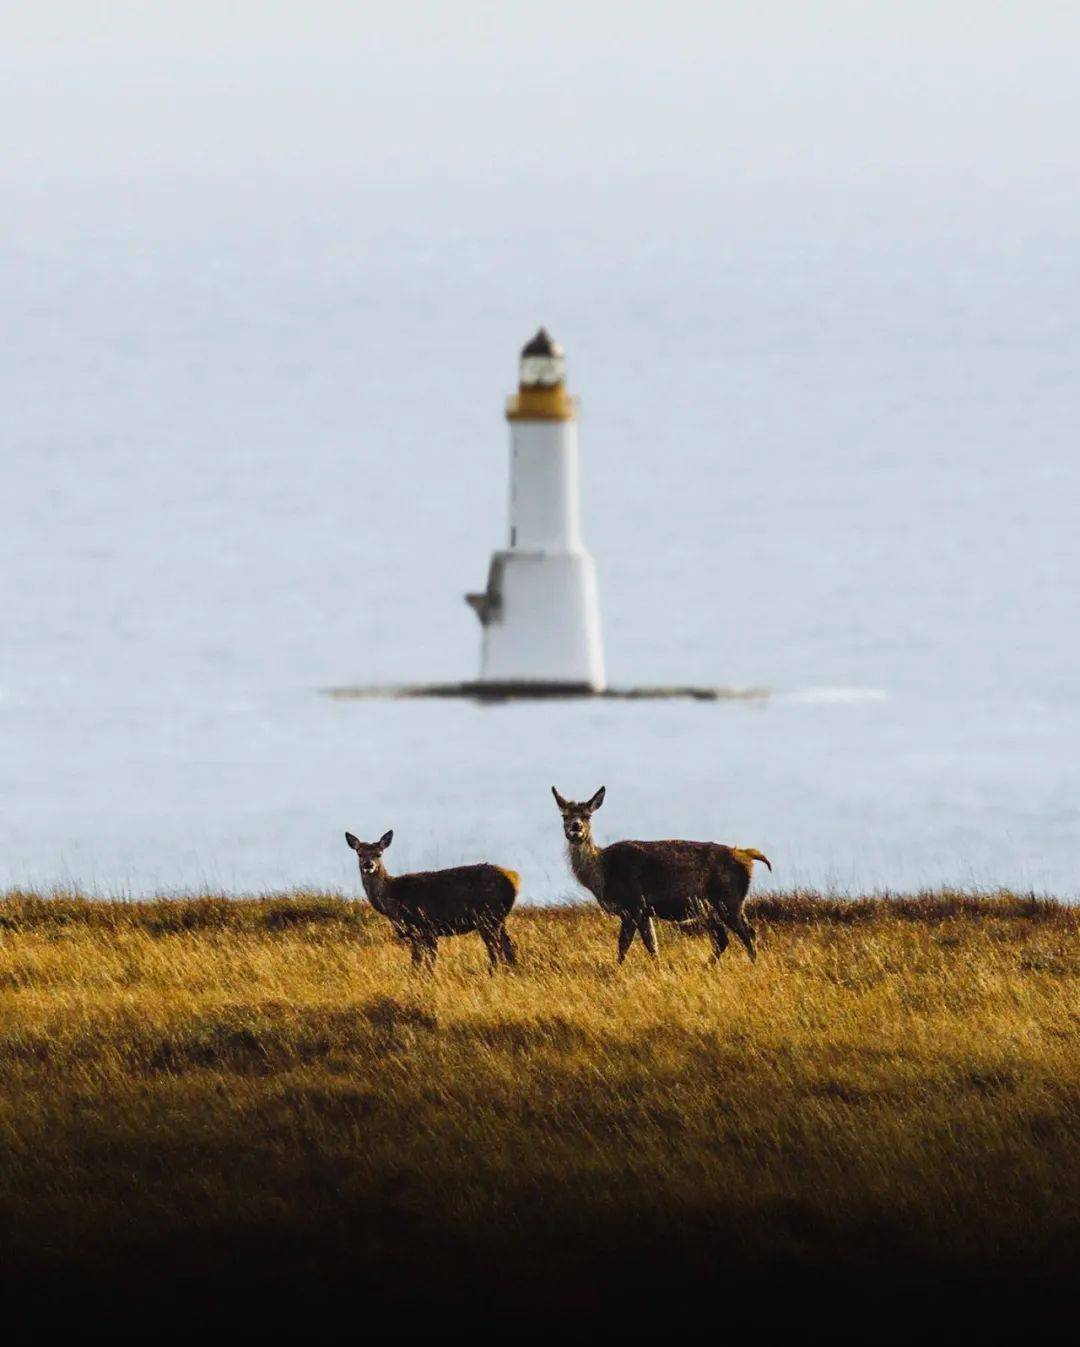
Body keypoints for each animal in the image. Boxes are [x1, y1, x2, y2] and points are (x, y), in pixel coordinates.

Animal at [343, 824, 514, 975]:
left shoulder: (425, 927)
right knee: (509, 946)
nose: (368, 864)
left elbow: (425, 962)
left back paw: (494, 973)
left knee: (496, 948)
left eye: (379, 853)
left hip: (487, 917)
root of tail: (513, 882)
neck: (391, 899)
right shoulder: (418, 932)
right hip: (497, 918)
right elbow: (418, 962)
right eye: (359, 853)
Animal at [552, 786, 770, 969]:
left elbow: (623, 944)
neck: (602, 875)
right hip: (712, 905)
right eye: (564, 815)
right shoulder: (644, 910)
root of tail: (746, 856)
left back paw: (752, 965)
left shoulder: (633, 904)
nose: (576, 827)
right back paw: (707, 966)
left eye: (587, 815)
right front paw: (658, 966)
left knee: (748, 933)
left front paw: (618, 969)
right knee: (722, 938)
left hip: (728, 898)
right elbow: (652, 945)